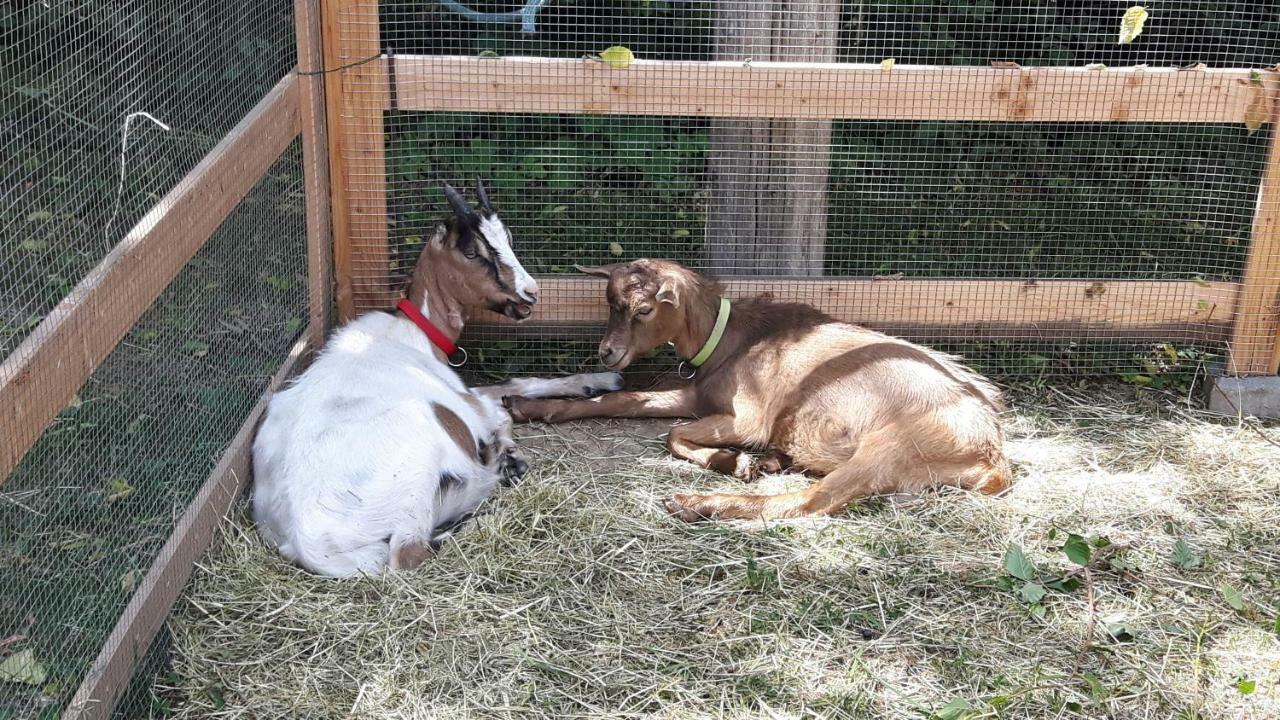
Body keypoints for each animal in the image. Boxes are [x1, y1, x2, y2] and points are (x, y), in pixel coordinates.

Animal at [249, 180, 619, 576]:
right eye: (472, 252)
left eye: (507, 237)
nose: (530, 293)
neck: (414, 332)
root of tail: (309, 542)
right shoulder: (468, 404)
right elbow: (503, 407)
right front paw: (510, 452)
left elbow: (514, 385)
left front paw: (602, 380)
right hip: (415, 477)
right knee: (408, 554)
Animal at [504, 260, 1013, 517]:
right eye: (610, 302)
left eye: (644, 309)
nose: (607, 353)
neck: (731, 339)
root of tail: (991, 457)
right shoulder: (696, 393)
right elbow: (624, 400)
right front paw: (526, 407)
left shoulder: (750, 416)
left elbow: (672, 434)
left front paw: (734, 461)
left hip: (890, 446)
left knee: (810, 501)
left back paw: (698, 503)